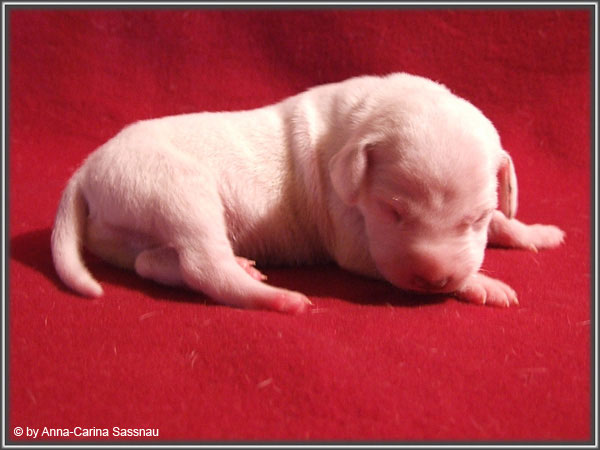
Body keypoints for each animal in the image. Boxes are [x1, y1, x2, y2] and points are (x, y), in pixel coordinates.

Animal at [51, 73, 565, 313]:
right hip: (177, 190)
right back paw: (274, 297)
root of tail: (85, 170)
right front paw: (481, 283)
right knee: (204, 266)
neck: (361, 123)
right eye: (393, 211)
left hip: (127, 227)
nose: (434, 278)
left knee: (149, 260)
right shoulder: (356, 241)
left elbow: (505, 220)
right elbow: (373, 258)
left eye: (473, 219)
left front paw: (535, 232)